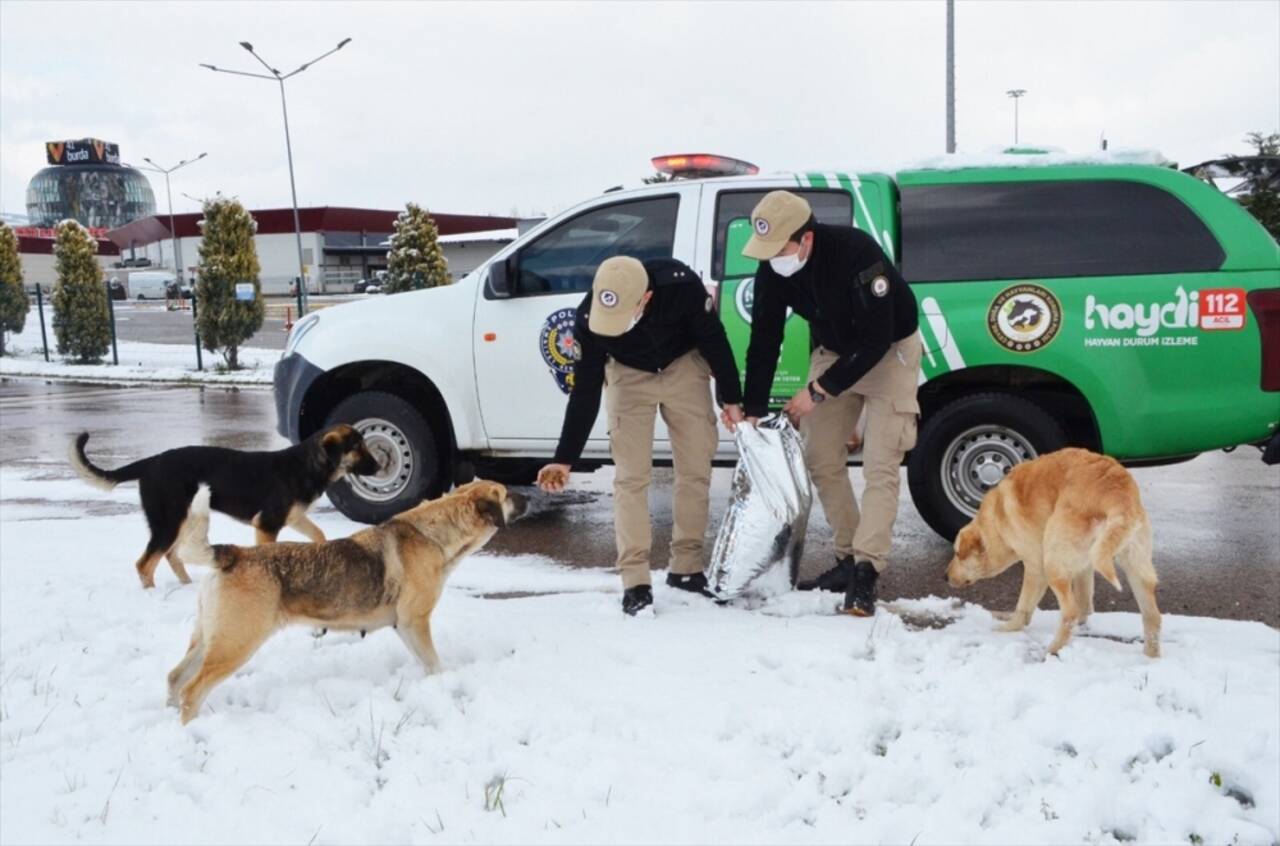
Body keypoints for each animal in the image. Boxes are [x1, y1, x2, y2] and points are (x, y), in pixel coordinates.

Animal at [70, 424, 378, 583]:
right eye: (358, 447)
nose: (380, 466)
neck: (307, 465)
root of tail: (151, 462)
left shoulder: (293, 517)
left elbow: (319, 534)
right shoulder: (267, 524)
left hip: (185, 519)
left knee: (171, 555)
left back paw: (187, 586)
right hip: (169, 522)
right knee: (145, 564)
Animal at [168, 478, 524, 721]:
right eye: (506, 494)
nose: (527, 495)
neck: (432, 535)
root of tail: (233, 553)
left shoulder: (405, 626)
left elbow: (425, 662)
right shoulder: (416, 622)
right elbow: (434, 664)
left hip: (207, 639)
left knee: (174, 678)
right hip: (235, 644)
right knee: (191, 690)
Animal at [942, 445, 1162, 655]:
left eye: (957, 553)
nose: (944, 577)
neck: (996, 519)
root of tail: (1117, 492)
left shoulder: (1035, 567)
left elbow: (1023, 606)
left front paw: (1009, 627)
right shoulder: (1084, 568)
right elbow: (1085, 603)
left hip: (1053, 562)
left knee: (1070, 612)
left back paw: (1053, 649)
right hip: (1135, 566)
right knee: (1152, 616)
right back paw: (1150, 658)